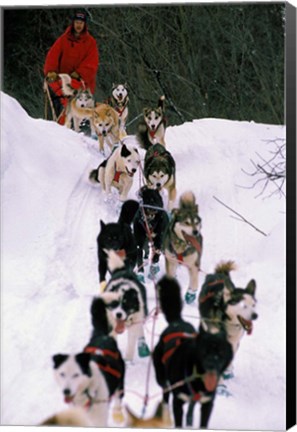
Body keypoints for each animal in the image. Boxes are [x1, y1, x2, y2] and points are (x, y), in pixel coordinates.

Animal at [52, 296, 124, 426]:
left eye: (76, 375)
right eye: (62, 374)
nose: (66, 391)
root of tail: (102, 336)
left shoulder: (100, 419)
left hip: (120, 383)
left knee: (118, 397)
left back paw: (117, 414)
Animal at [151, 276, 232, 428]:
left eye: (221, 353)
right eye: (205, 351)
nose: (212, 365)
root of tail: (177, 321)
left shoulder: (207, 404)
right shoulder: (178, 401)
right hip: (162, 378)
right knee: (165, 394)